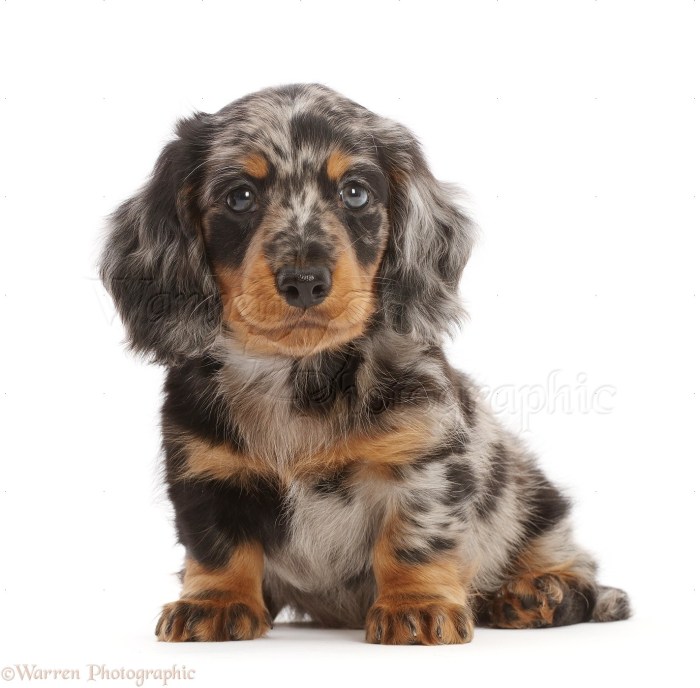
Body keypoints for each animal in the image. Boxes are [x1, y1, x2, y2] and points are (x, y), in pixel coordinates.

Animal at [101, 83, 632, 644]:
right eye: (239, 196)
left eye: (354, 192)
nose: (305, 281)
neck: (297, 376)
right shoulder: (204, 470)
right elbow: (216, 546)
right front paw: (214, 602)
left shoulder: (423, 457)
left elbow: (412, 538)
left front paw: (416, 605)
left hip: (534, 501)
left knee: (573, 564)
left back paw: (537, 593)